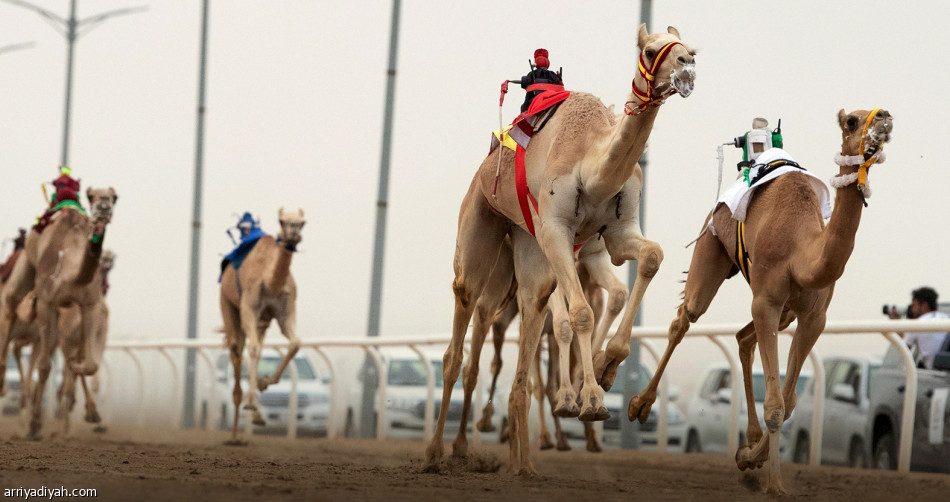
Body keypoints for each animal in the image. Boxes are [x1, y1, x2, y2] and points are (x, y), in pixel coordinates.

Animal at [0, 186, 117, 438]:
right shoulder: (47, 302)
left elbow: (89, 365)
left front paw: (91, 414)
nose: (104, 207)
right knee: (10, 311)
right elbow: (44, 367)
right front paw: (34, 425)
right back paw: (4, 385)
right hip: (25, 271)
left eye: (114, 197)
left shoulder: (90, 306)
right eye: (92, 196)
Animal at [219, 207, 304, 444]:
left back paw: (256, 414)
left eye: (303, 222)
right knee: (238, 349)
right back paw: (235, 433)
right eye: (282, 221)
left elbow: (295, 343)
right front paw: (252, 401)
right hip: (227, 303)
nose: (293, 234)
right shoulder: (249, 308)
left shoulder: (284, 314)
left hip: (262, 322)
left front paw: (264, 382)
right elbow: (253, 349)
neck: (271, 282)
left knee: (255, 347)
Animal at [428, 25, 696, 474]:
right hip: (482, 225)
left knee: (530, 320)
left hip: (526, 246)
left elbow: (650, 258)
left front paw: (607, 368)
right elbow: (579, 315)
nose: (687, 67)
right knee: (464, 326)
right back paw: (439, 452)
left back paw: (521, 463)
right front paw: (590, 400)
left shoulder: (615, 235)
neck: (592, 167)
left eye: (691, 49)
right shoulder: (556, 233)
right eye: (650, 50)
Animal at [632, 109, 892, 494]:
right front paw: (775, 485)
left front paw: (749, 457)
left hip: (784, 313)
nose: (884, 120)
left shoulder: (814, 317)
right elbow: (776, 403)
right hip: (711, 243)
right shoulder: (767, 299)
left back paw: (750, 440)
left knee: (743, 338)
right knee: (685, 317)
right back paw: (638, 404)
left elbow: (790, 400)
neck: (803, 252)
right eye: (852, 121)